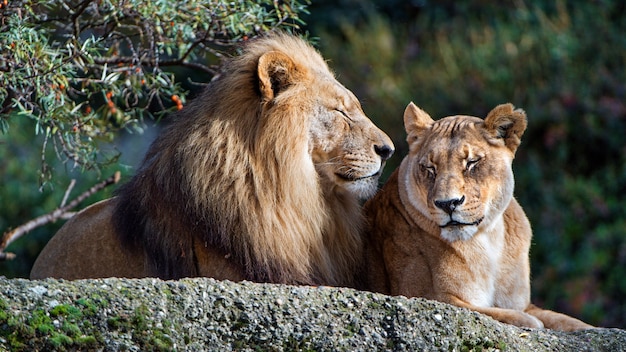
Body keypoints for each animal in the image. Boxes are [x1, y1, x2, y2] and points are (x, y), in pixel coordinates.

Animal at [360, 102, 588, 330]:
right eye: (430, 168)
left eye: (471, 162)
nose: (447, 203)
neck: (488, 239)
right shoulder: (429, 296)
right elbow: (498, 314)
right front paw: (529, 322)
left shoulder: (524, 303)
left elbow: (565, 320)